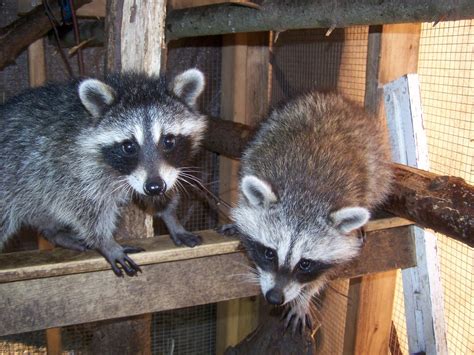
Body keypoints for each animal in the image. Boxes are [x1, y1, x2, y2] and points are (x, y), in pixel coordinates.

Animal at [0, 68, 207, 276]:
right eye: (129, 146)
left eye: (168, 141)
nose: (155, 187)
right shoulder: (71, 167)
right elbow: (84, 205)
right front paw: (106, 242)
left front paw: (170, 216)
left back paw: (53, 232)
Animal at [228, 91, 390, 330]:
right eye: (269, 253)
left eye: (305, 264)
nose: (274, 297)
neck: (305, 193)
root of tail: (336, 98)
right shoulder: (257, 163)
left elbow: (327, 272)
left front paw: (304, 298)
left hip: (379, 163)